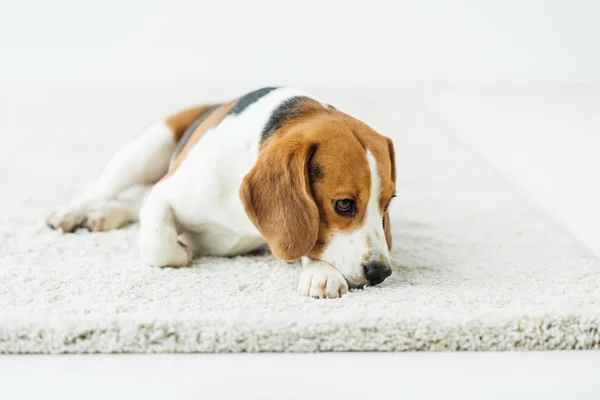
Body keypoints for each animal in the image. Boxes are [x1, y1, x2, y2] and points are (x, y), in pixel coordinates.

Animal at [45, 86, 394, 296]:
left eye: (387, 204)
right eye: (344, 204)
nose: (381, 272)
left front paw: (321, 271)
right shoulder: (165, 194)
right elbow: (159, 244)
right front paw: (183, 250)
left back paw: (105, 214)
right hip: (144, 151)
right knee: (104, 188)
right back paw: (71, 213)